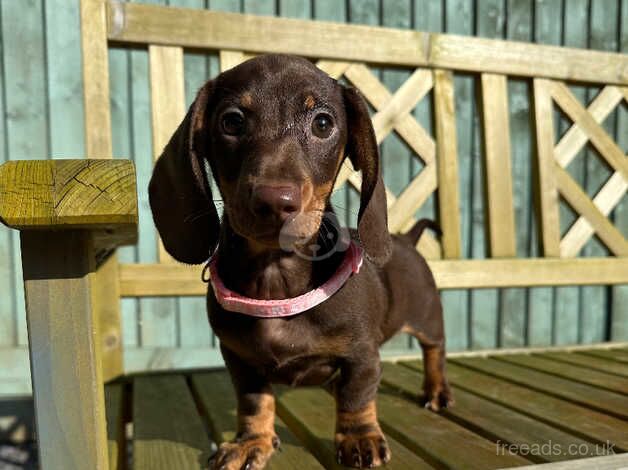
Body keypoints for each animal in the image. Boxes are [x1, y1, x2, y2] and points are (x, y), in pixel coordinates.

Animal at [150, 56, 454, 470]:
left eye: (323, 123)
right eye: (231, 122)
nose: (274, 201)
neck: (277, 279)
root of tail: (406, 239)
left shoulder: (362, 355)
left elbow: (357, 397)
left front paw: (360, 437)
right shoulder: (239, 360)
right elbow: (254, 403)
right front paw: (252, 441)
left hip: (427, 317)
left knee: (435, 350)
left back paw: (437, 390)